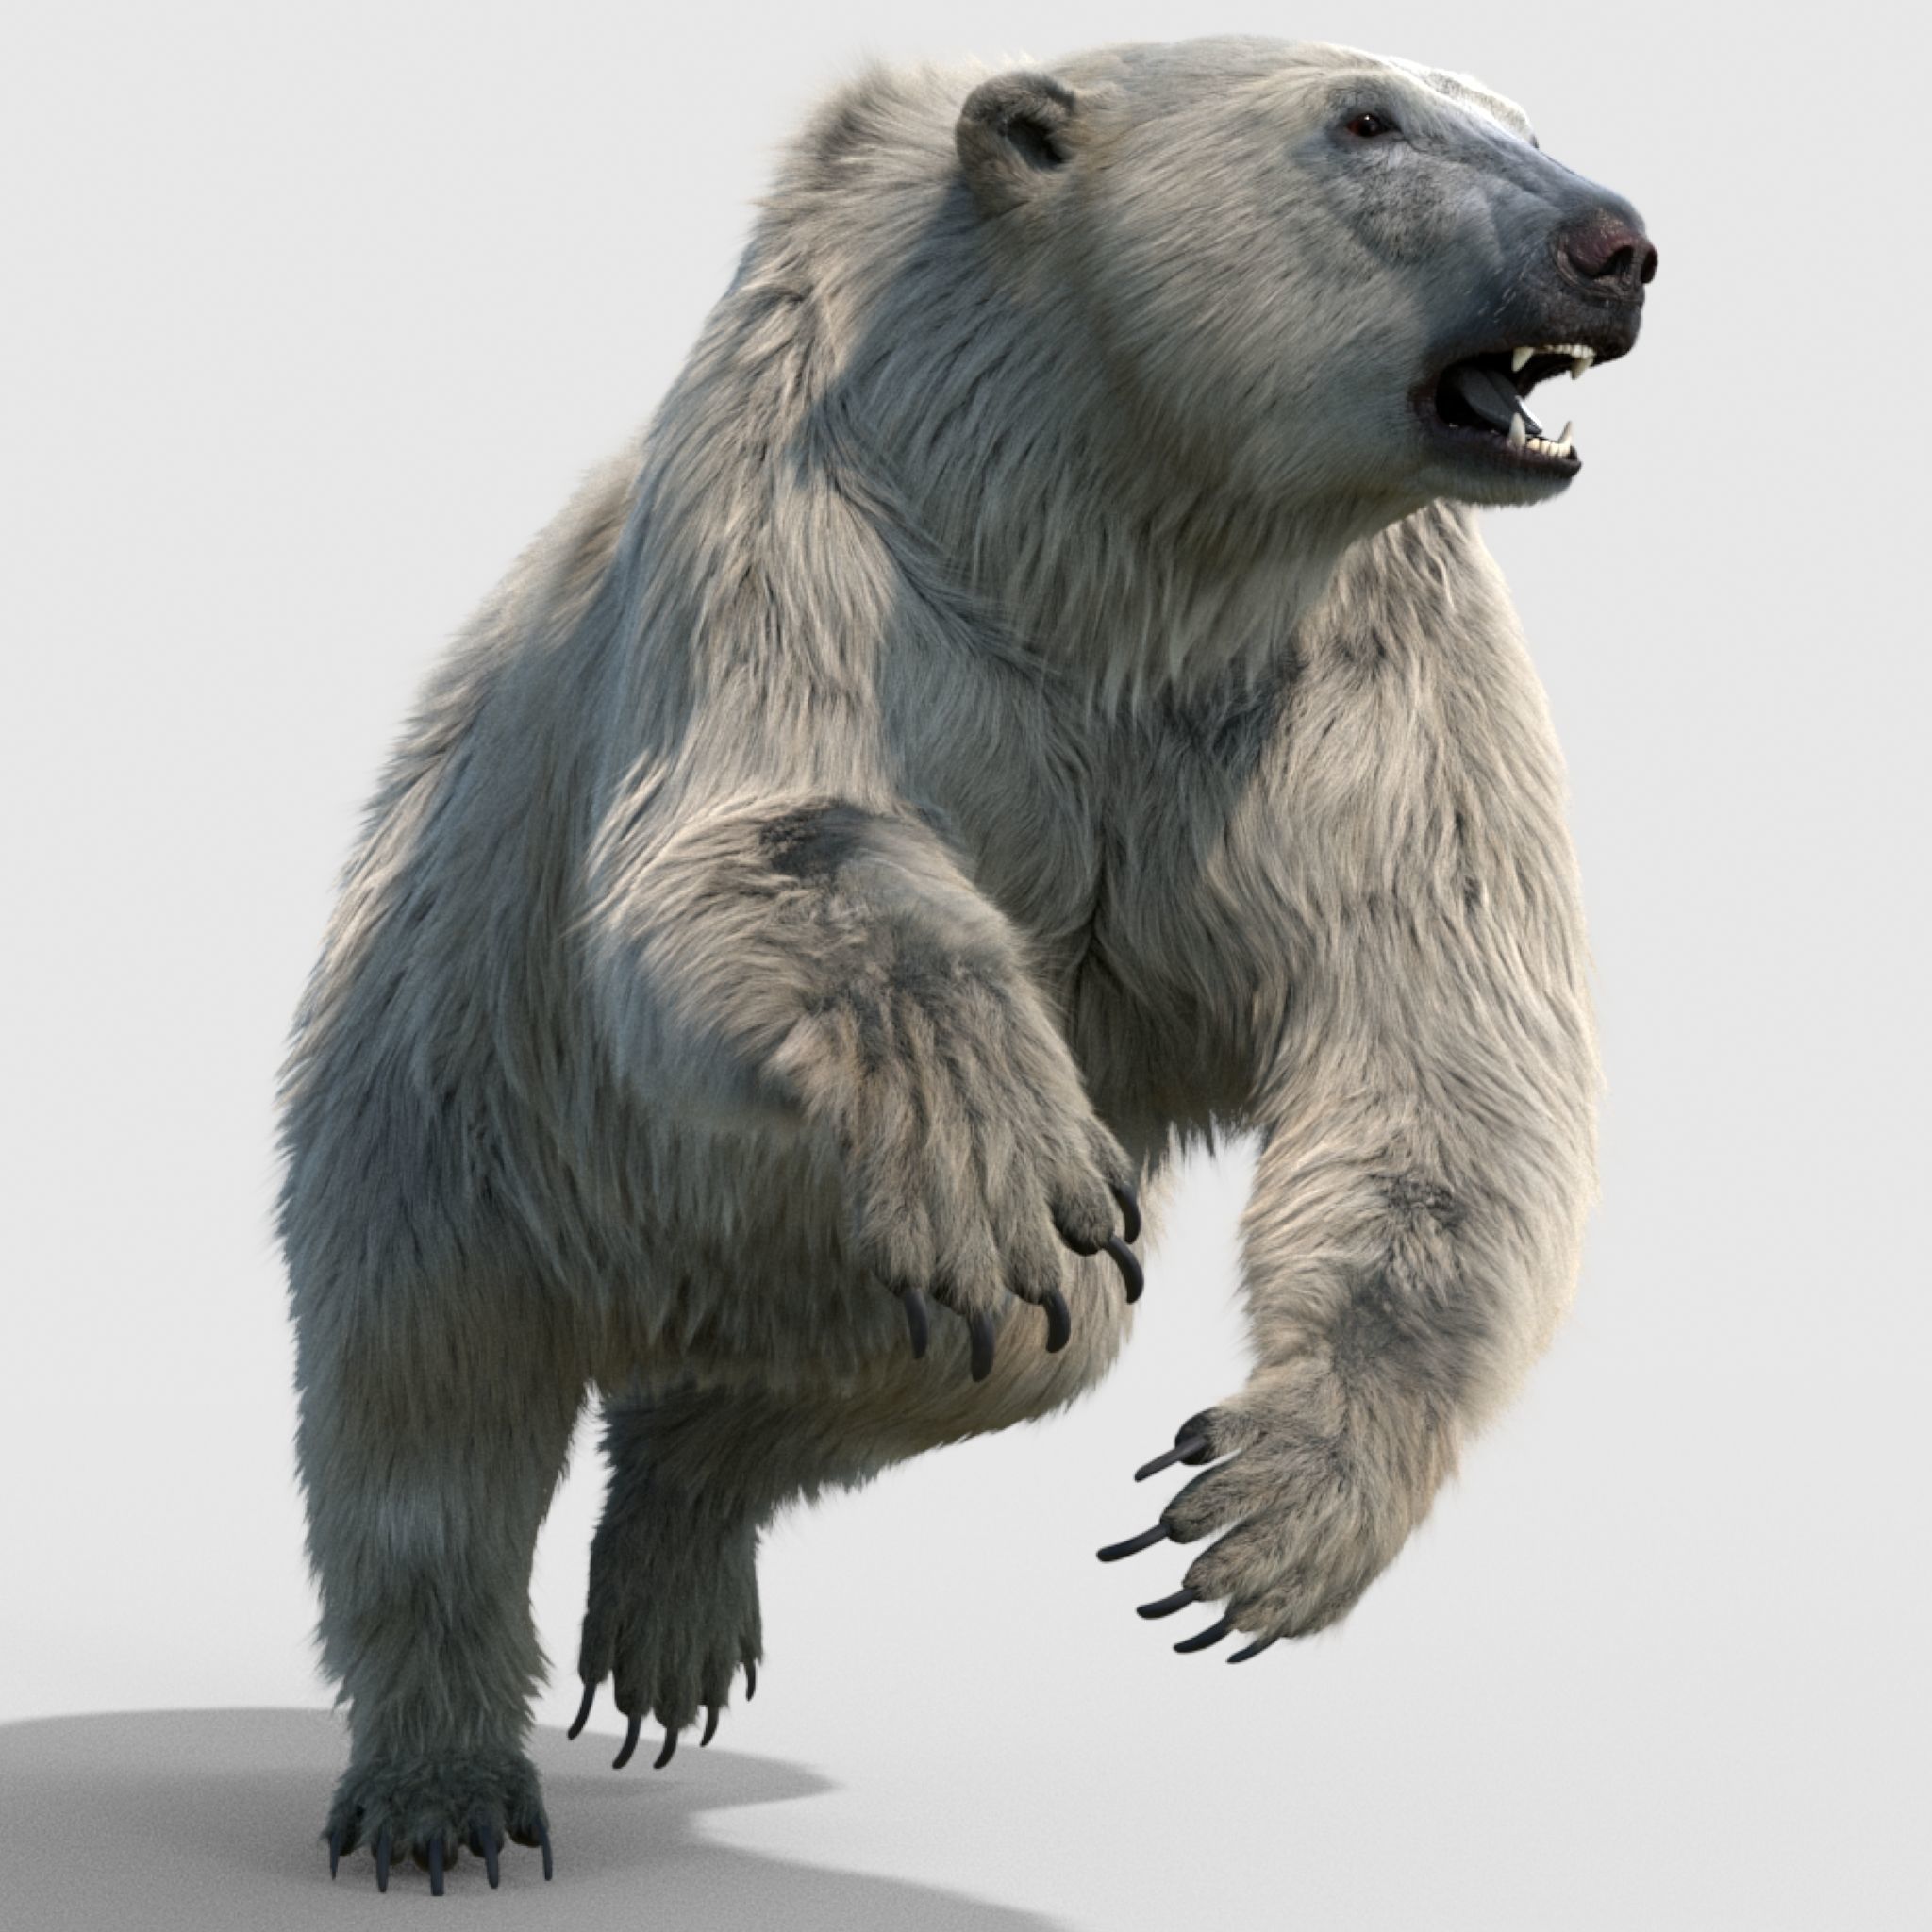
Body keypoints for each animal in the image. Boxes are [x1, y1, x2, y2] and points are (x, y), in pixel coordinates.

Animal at [278, 35, 1655, 1893]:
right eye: (1363, 119)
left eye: (1516, 110)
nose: (1614, 243)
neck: (1110, 525)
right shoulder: (814, 502)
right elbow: (761, 836)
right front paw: (998, 1145)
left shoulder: (1367, 669)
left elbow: (1442, 1044)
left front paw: (1255, 1516)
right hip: (447, 1097)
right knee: (424, 1423)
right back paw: (444, 1790)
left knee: (1013, 1337)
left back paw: (676, 1566)